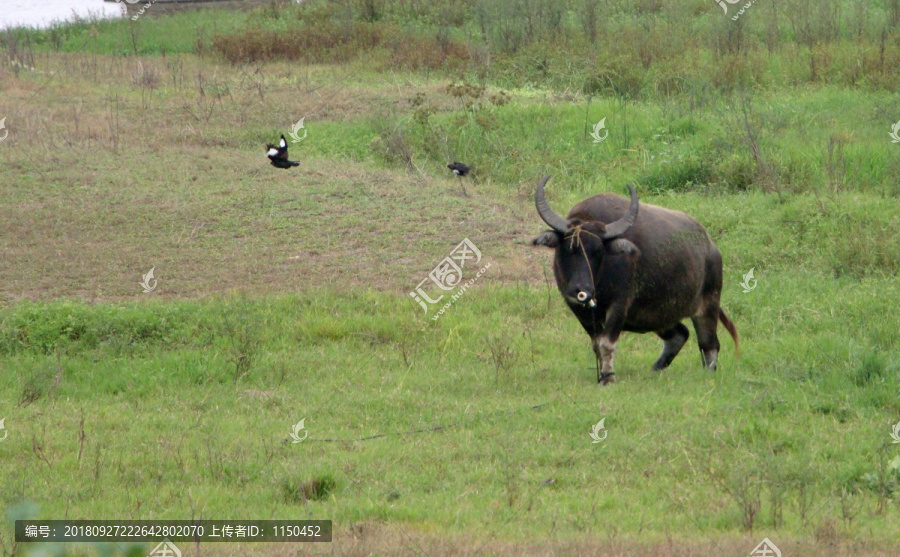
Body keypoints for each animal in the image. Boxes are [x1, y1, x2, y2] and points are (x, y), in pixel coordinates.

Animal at [532, 176, 736, 384]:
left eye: (598, 251)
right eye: (568, 248)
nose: (582, 290)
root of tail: (710, 246)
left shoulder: (619, 305)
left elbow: (607, 343)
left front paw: (608, 377)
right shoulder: (578, 309)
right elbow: (596, 344)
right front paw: (602, 374)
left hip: (709, 304)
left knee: (709, 345)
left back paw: (707, 373)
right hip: (656, 315)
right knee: (680, 335)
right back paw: (655, 369)